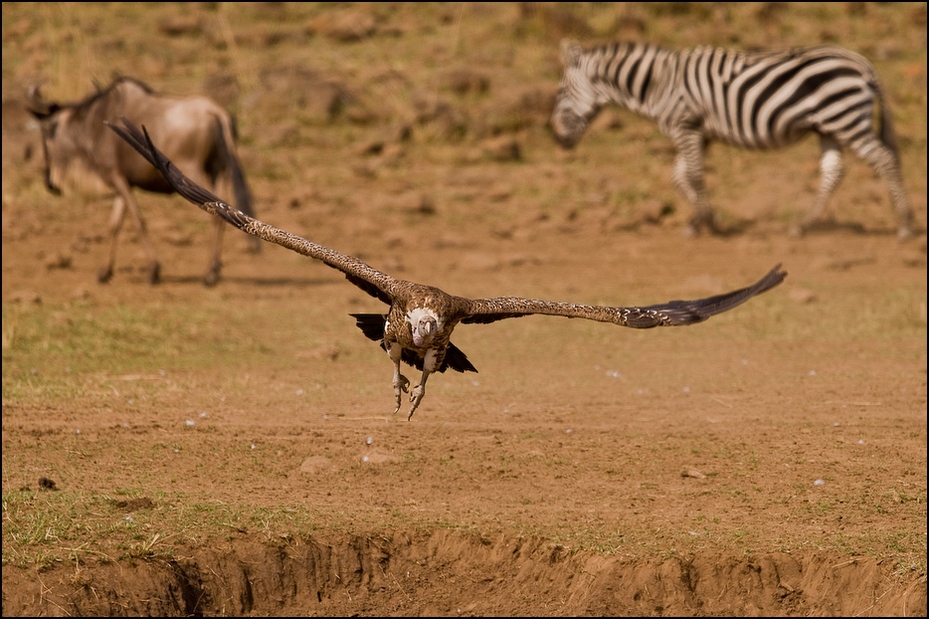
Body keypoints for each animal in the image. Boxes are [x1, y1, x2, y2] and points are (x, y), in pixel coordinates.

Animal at [552, 40, 912, 240]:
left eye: (560, 92)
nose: (557, 140)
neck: (657, 83)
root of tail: (863, 63)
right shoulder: (699, 133)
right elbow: (681, 177)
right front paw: (700, 222)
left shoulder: (686, 125)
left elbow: (693, 176)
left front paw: (710, 224)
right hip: (828, 126)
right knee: (834, 172)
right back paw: (802, 226)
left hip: (845, 118)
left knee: (884, 159)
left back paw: (905, 226)